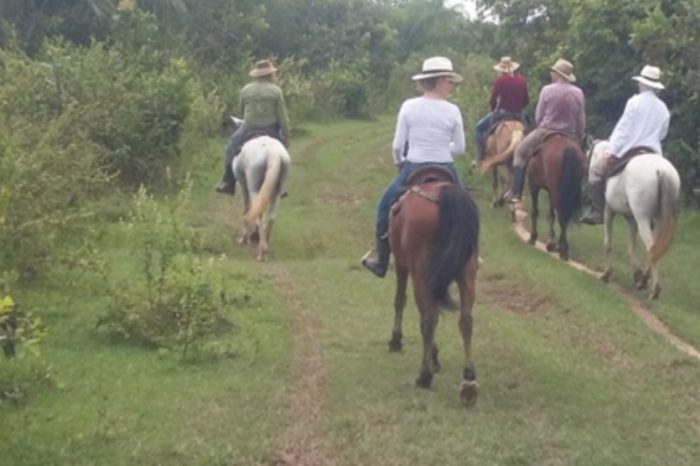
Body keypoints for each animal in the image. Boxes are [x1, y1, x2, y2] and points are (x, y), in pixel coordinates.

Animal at [232, 118, 290, 260]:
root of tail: (272, 152)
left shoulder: (243, 185)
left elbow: (245, 208)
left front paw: (244, 238)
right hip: (276, 191)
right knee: (271, 217)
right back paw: (265, 246)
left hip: (254, 189)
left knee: (259, 214)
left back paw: (261, 252)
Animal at [386, 167, 478, 408]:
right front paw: (435, 356)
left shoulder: (402, 265)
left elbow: (400, 299)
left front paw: (396, 340)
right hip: (467, 271)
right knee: (466, 320)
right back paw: (469, 380)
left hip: (421, 273)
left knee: (428, 318)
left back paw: (424, 376)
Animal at [588, 140, 680, 298]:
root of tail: (662, 170)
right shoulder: (632, 220)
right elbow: (631, 247)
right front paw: (637, 274)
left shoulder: (609, 211)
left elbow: (608, 243)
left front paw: (606, 274)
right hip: (657, 220)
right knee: (656, 247)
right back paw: (644, 280)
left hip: (643, 219)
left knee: (651, 247)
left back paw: (654, 290)